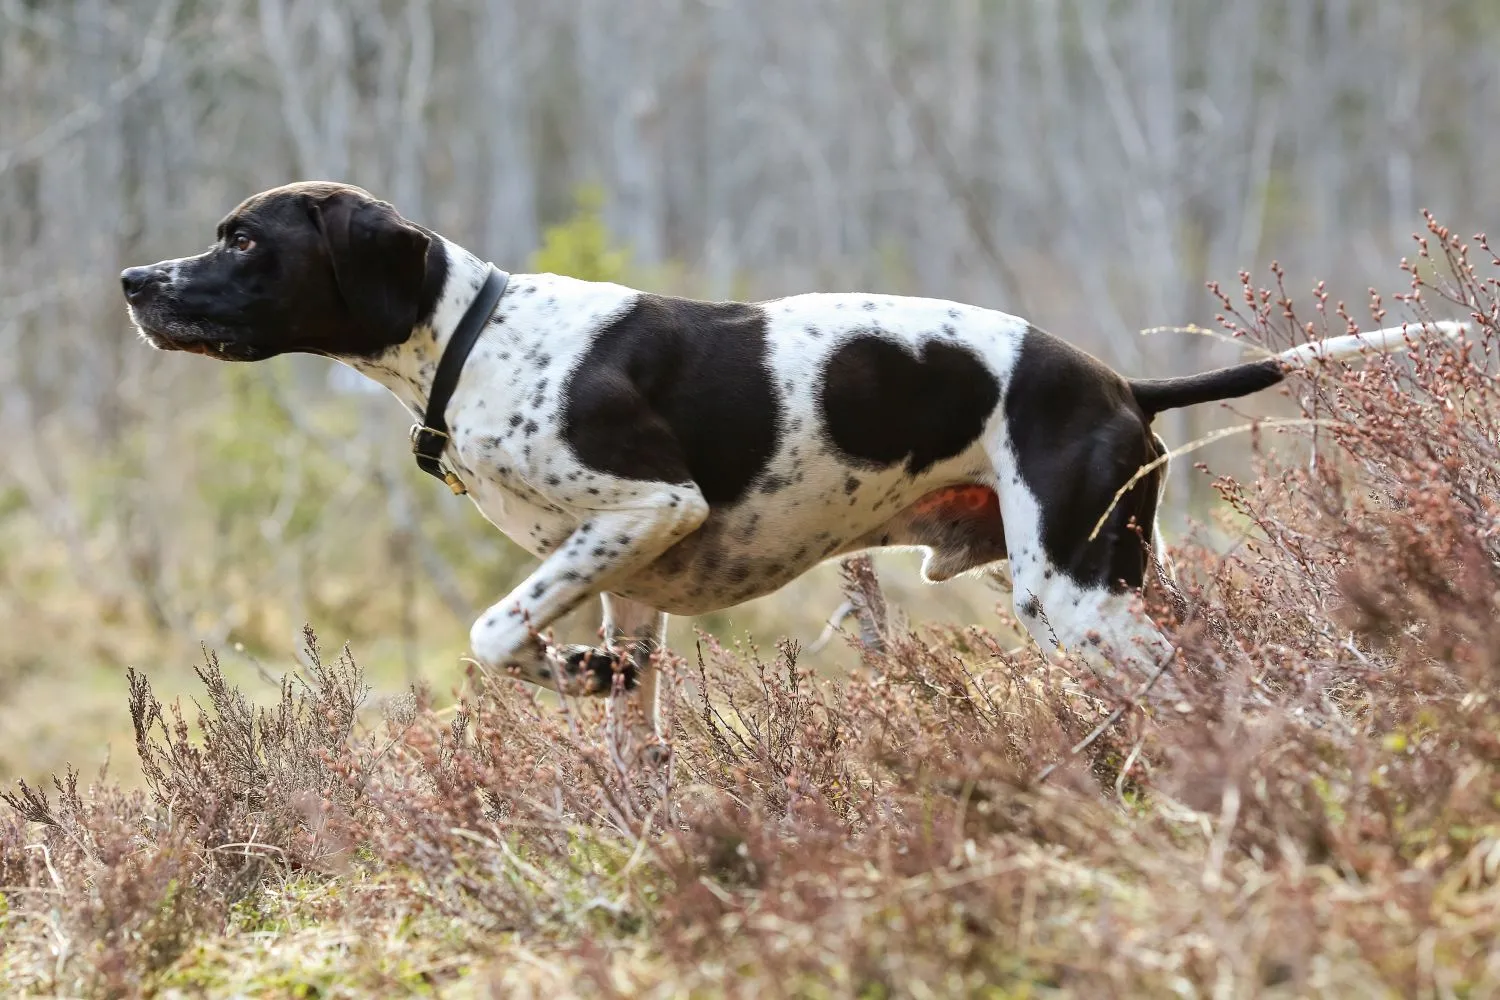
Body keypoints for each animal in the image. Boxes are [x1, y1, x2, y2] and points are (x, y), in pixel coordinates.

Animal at [123, 183, 1470, 740]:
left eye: (242, 240)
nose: (136, 280)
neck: (476, 334)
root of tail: (1115, 383)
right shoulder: (628, 582)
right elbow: (626, 723)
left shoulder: (648, 505)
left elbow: (495, 631)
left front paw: (559, 671)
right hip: (1108, 574)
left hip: (1078, 599)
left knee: (1198, 679)